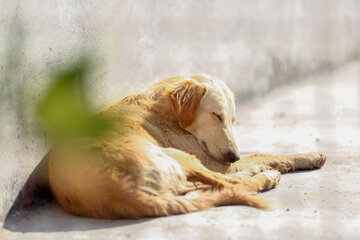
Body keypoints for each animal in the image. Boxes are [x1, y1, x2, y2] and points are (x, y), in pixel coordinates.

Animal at [49, 74, 328, 218]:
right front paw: (309, 155)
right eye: (216, 116)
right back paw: (265, 177)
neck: (166, 106)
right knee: (231, 185)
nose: (233, 155)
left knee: (207, 187)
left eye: (232, 120)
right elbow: (263, 153)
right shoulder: (215, 161)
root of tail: (119, 190)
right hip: (178, 156)